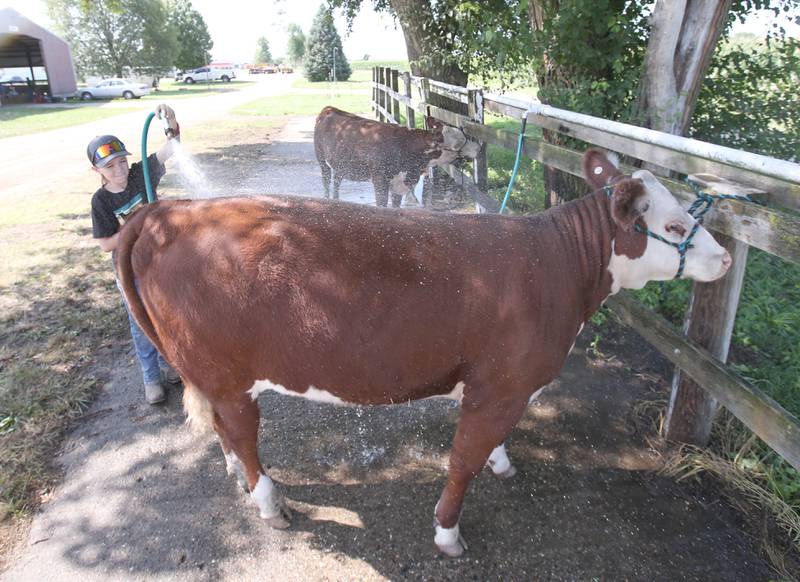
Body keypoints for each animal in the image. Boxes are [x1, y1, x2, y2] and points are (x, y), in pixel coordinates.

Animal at [115, 152, 736, 560]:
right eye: (674, 223)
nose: (726, 258)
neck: (557, 265)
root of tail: (171, 210)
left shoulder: (508, 386)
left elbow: (488, 447)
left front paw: (501, 460)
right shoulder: (499, 386)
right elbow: (461, 462)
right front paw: (447, 533)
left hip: (211, 372)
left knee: (224, 427)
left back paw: (237, 476)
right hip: (225, 369)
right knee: (244, 434)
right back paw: (269, 501)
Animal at [314, 106, 478, 209]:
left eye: (463, 134)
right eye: (458, 143)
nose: (478, 148)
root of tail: (329, 108)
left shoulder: (399, 184)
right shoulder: (380, 180)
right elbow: (382, 205)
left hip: (341, 164)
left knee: (336, 180)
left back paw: (336, 201)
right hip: (321, 160)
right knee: (326, 180)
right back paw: (327, 200)